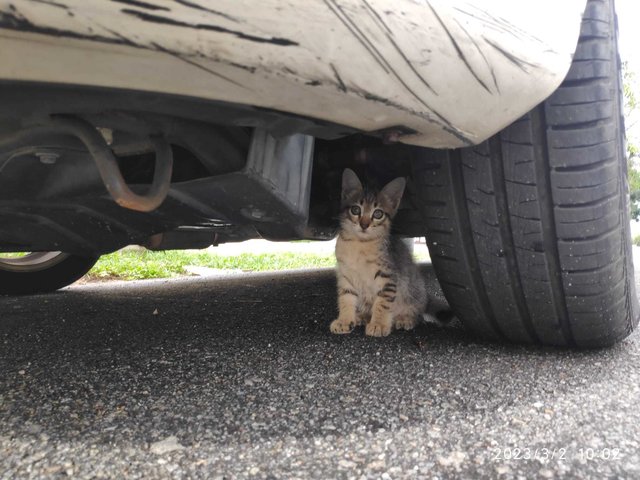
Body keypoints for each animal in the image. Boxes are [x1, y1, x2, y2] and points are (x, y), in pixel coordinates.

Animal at [330, 169, 424, 338]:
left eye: (378, 213)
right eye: (356, 210)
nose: (364, 224)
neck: (359, 244)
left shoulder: (388, 277)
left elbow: (382, 303)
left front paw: (378, 324)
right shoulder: (346, 275)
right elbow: (346, 298)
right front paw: (344, 320)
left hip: (412, 291)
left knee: (416, 313)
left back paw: (405, 319)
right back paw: (361, 316)